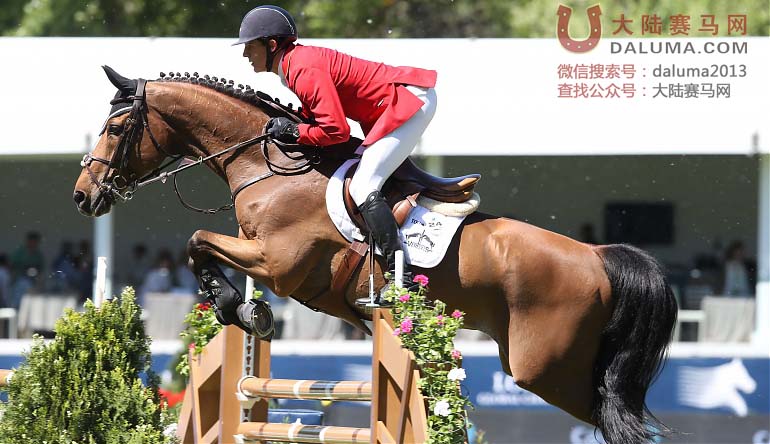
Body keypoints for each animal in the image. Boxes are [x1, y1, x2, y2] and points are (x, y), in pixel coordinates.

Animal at [73, 67, 678, 444]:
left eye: (117, 126)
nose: (84, 196)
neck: (268, 164)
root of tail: (598, 255)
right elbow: (201, 247)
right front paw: (244, 310)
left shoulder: (277, 262)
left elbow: (198, 242)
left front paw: (241, 308)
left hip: (543, 368)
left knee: (610, 417)